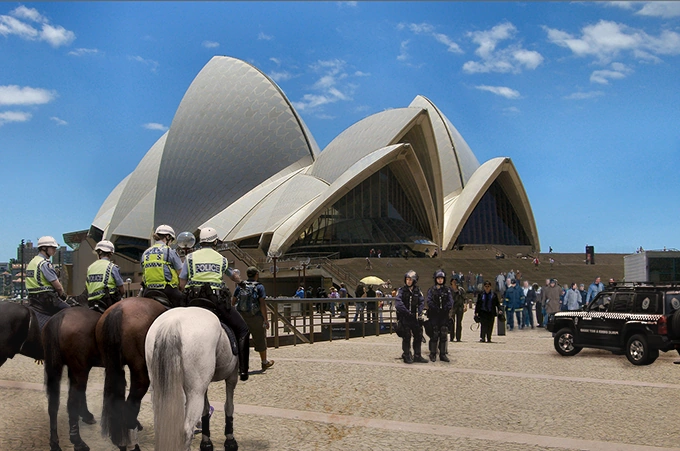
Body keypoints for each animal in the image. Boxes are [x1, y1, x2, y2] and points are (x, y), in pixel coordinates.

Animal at [42, 305, 102, 451]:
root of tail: (60, 316)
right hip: (79, 370)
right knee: (71, 403)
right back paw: (78, 442)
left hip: (58, 369)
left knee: (53, 405)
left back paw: (55, 444)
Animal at [145, 307, 239, 451]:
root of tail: (172, 323)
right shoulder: (232, 376)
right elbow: (229, 406)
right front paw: (230, 440)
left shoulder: (205, 384)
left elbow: (206, 409)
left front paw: (206, 442)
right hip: (195, 393)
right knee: (186, 430)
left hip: (158, 389)